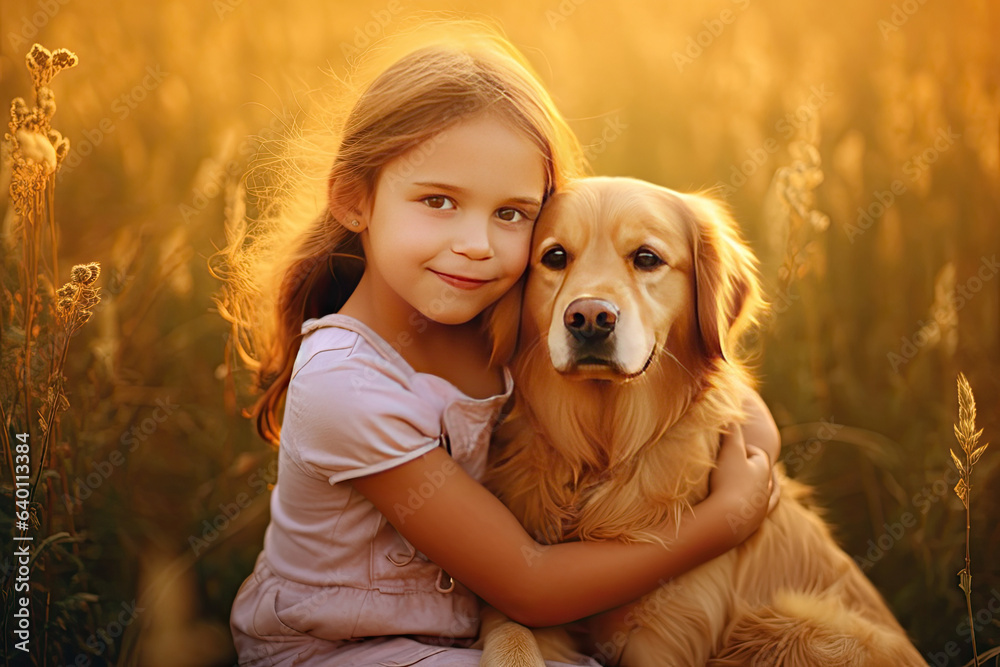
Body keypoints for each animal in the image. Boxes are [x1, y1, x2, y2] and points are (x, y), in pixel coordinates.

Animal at [480, 177, 924, 667]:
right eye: (555, 256)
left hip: (791, 623)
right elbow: (512, 633)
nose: (590, 318)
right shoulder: (529, 590)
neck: (605, 454)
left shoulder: (668, 631)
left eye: (647, 258)